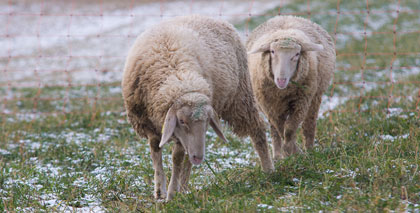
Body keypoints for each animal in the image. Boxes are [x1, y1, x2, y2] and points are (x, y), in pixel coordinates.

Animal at [120, 15, 276, 201]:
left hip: (240, 96)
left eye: (208, 120)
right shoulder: (150, 123)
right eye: (181, 120)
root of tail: (215, 19)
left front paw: (171, 194)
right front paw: (160, 191)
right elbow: (155, 151)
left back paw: (268, 169)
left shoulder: (181, 134)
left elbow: (177, 158)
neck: (177, 76)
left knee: (257, 128)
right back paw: (183, 186)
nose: (199, 158)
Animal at [248, 15, 336, 161]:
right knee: (275, 130)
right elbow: (280, 129)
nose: (281, 80)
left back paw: (309, 150)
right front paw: (289, 152)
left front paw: (294, 152)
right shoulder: (269, 106)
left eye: (297, 54)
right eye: (272, 52)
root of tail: (286, 16)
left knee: (309, 124)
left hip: (314, 97)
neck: (282, 91)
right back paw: (278, 156)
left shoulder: (301, 102)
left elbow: (289, 130)